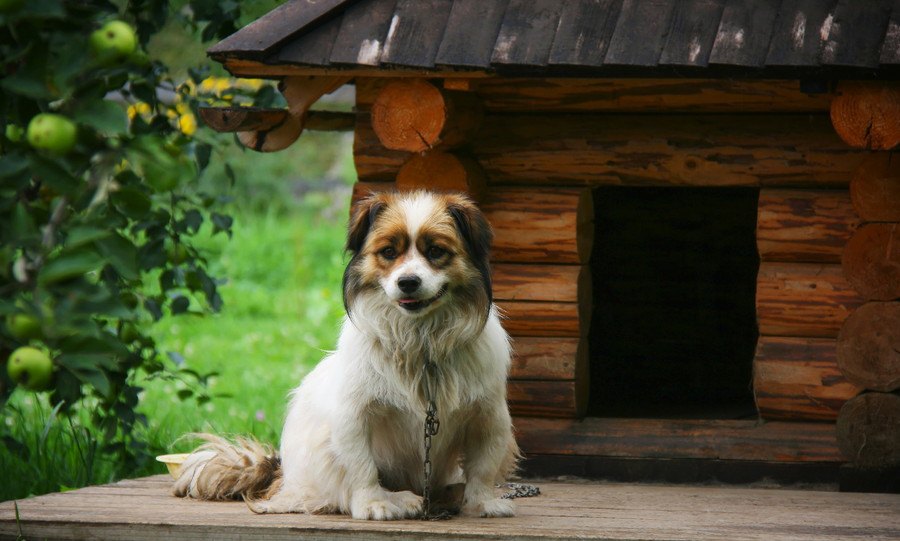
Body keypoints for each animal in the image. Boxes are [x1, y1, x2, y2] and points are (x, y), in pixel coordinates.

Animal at [172, 190, 520, 520]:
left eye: (436, 251)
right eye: (388, 253)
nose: (407, 282)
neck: (421, 342)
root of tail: (282, 476)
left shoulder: (489, 417)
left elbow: (483, 467)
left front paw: (481, 502)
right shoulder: (354, 416)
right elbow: (362, 466)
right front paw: (373, 503)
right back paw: (402, 498)